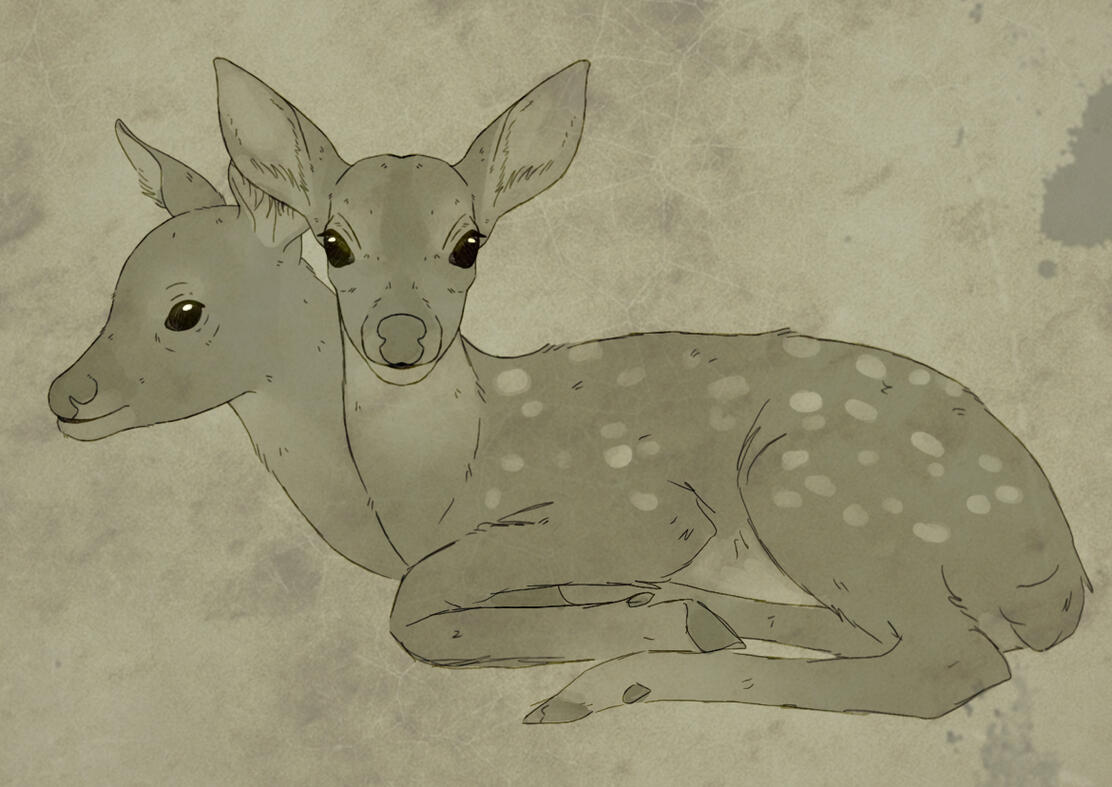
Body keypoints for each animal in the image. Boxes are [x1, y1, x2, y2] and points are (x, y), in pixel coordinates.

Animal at [48, 121, 770, 659]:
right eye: (116, 287)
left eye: (185, 311)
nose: (64, 394)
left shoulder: (651, 504)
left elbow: (414, 615)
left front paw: (686, 625)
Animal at [214, 56, 1091, 724]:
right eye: (334, 242)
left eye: (468, 243)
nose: (401, 337)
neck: (448, 479)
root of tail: (1065, 576)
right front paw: (630, 611)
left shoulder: (650, 505)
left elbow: (413, 605)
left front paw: (625, 630)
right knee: (887, 636)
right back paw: (688, 614)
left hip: (807, 483)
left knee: (952, 662)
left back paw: (617, 677)